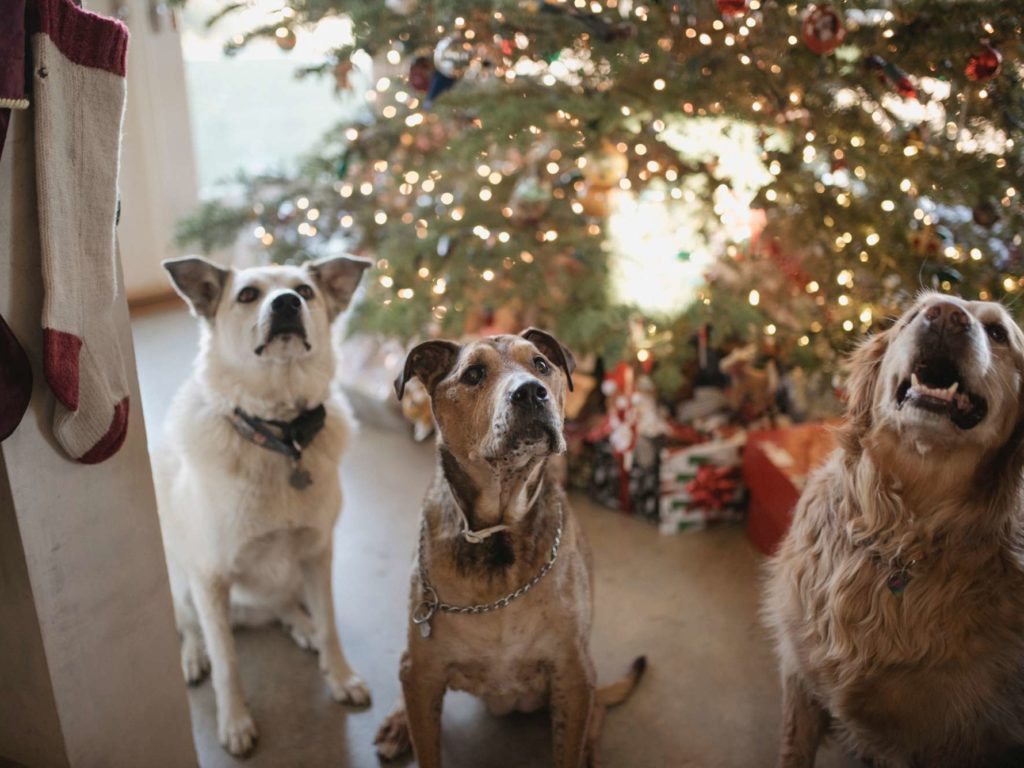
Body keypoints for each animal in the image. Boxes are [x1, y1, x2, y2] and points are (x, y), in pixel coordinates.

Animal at [155, 257, 372, 757]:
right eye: (249, 295)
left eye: (305, 291)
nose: (287, 303)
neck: (281, 436)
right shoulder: (210, 578)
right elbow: (227, 662)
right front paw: (235, 721)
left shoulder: (316, 554)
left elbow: (330, 623)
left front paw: (340, 674)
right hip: (182, 583)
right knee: (190, 626)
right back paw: (193, 656)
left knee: (284, 605)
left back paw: (300, 626)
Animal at [376, 331, 643, 768]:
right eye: (473, 374)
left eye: (541, 365)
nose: (531, 393)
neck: (497, 535)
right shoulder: (424, 672)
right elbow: (427, 745)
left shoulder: (573, 673)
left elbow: (569, 747)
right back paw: (398, 724)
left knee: (598, 712)